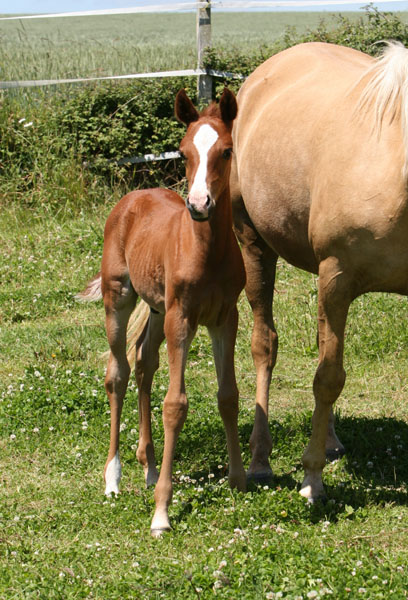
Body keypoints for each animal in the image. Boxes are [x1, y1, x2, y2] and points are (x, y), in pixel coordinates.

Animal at [79, 88, 245, 536]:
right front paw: (161, 512)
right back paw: (114, 477)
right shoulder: (181, 318)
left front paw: (240, 479)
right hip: (120, 299)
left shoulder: (225, 318)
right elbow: (175, 405)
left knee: (143, 361)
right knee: (117, 373)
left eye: (226, 151)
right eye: (184, 152)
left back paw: (149, 465)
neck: (207, 251)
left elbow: (228, 395)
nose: (199, 204)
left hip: (156, 309)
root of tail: (134, 196)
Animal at [231, 41, 408, 502]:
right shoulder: (337, 277)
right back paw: (260, 460)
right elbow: (327, 378)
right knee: (265, 345)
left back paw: (328, 441)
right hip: (254, 244)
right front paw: (312, 479)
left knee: (323, 342)